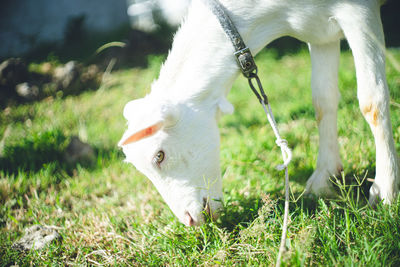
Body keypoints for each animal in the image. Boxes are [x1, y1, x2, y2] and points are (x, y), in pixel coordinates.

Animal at [118, 0, 396, 226]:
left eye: (159, 155)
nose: (190, 220)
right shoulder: (319, 34)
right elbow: (322, 101)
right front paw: (323, 179)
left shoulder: (359, 12)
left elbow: (371, 102)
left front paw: (385, 191)